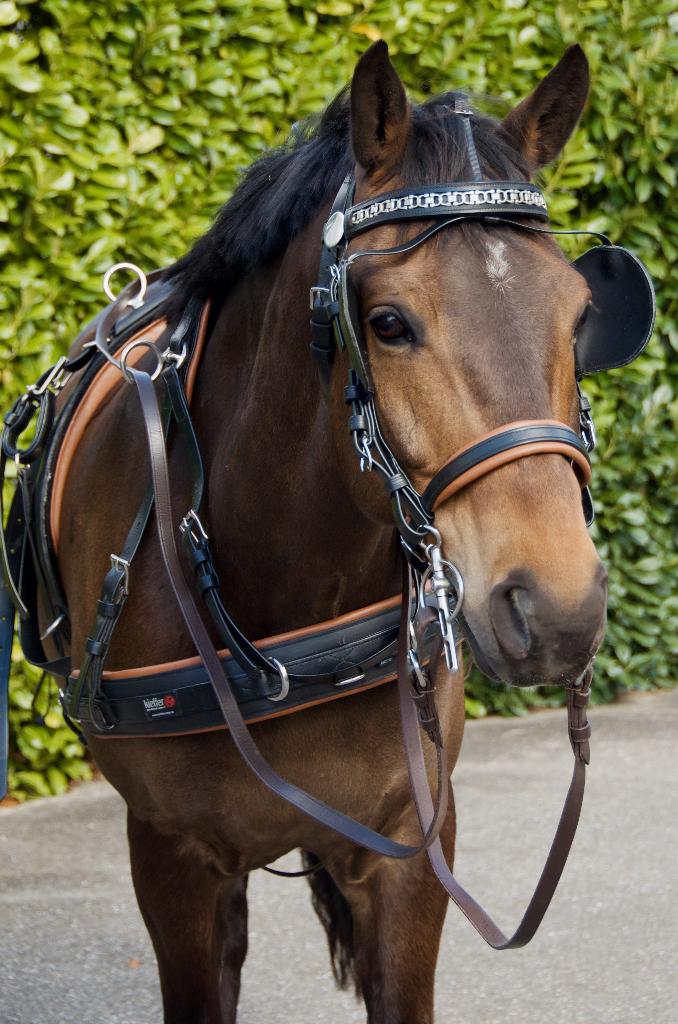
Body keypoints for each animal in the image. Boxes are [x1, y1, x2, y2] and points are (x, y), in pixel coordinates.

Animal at [52, 41, 608, 1023]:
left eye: (580, 316)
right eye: (386, 323)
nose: (559, 609)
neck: (290, 592)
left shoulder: (413, 848)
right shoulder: (171, 859)